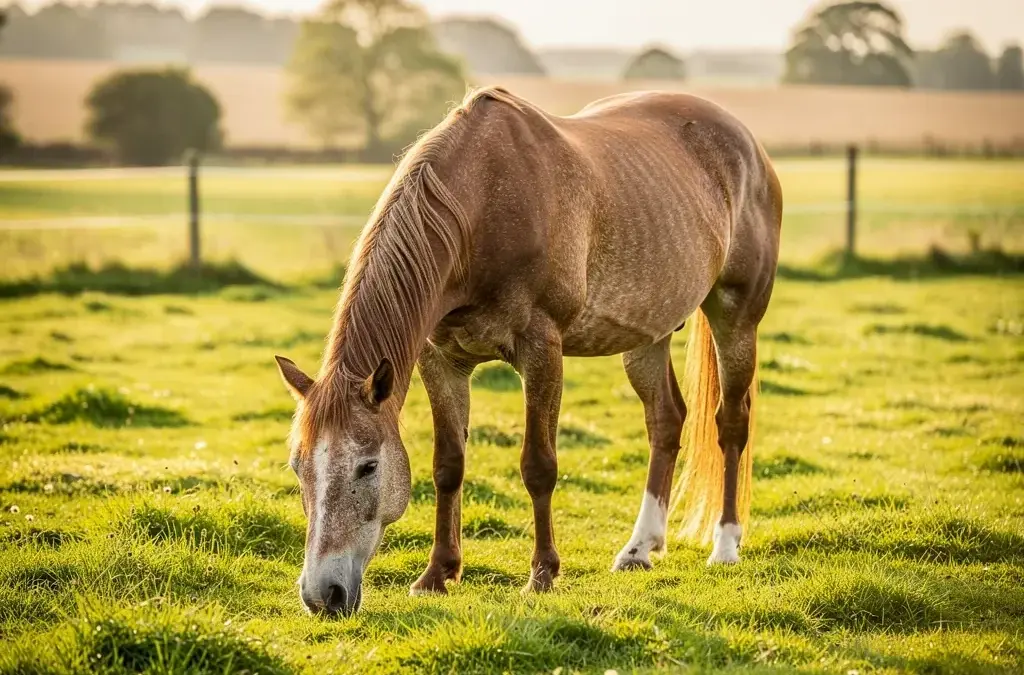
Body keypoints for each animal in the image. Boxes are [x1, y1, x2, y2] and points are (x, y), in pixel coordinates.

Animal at [275, 86, 783, 616]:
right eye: (298, 466)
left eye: (368, 466)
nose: (322, 595)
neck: (480, 209)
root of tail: (747, 143)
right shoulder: (441, 361)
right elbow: (447, 465)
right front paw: (437, 574)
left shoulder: (542, 350)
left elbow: (538, 466)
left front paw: (542, 574)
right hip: (648, 335)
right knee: (666, 421)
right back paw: (639, 549)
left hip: (735, 317)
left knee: (731, 423)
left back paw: (725, 545)